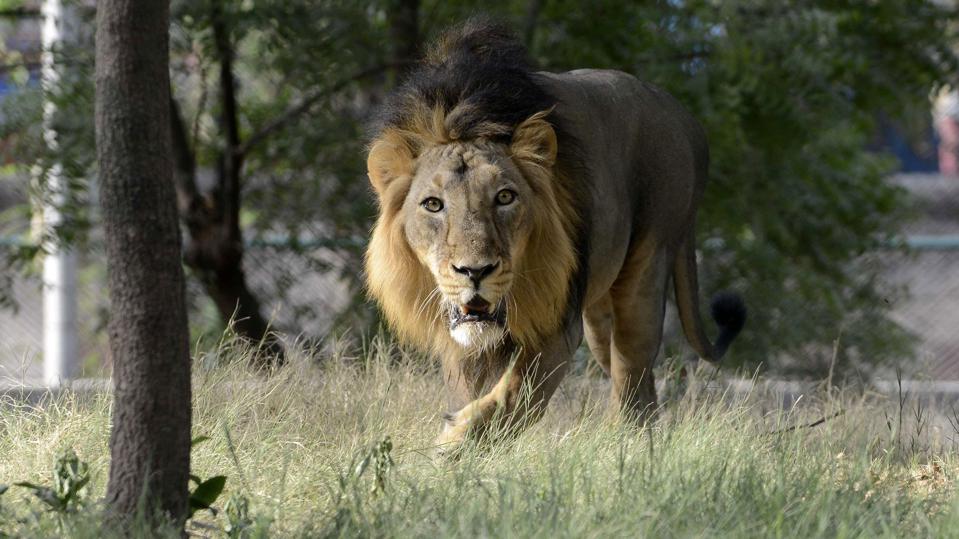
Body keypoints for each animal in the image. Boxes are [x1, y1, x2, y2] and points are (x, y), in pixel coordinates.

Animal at [365, 19, 746, 453]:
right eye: (433, 205)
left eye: (505, 197)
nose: (474, 271)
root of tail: (685, 119)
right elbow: (473, 390)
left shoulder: (557, 323)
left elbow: (516, 394)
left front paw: (456, 442)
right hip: (598, 314)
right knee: (637, 380)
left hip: (648, 265)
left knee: (631, 371)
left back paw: (622, 447)